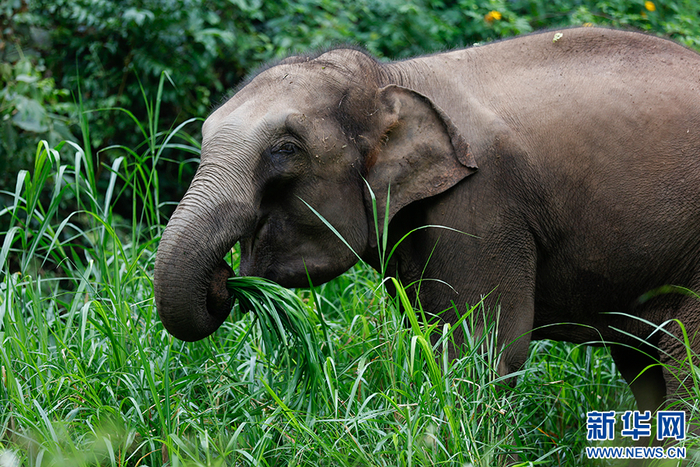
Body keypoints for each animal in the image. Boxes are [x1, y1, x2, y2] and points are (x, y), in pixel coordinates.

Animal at [154, 27, 700, 421]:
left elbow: (483, 350)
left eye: (285, 149)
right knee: (645, 364)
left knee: (683, 359)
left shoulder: (482, 202)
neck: (391, 77)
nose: (225, 279)